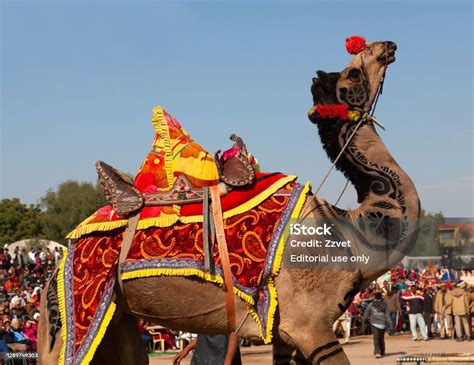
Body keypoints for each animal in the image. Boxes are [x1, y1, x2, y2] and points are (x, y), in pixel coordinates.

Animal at [39, 37, 420, 364]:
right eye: (353, 73)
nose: (388, 46)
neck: (348, 230)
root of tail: (57, 265)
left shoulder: (284, 330)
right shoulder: (309, 324)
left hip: (117, 320)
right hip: (72, 319)